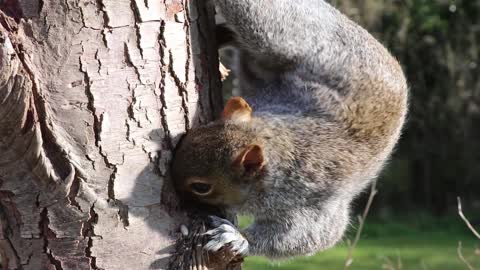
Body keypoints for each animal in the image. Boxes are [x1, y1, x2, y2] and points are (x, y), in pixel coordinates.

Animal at [171, 0, 406, 258]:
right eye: (197, 132)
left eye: (201, 187)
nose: (173, 190)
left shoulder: (309, 201)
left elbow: (311, 236)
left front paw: (237, 238)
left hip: (283, 35)